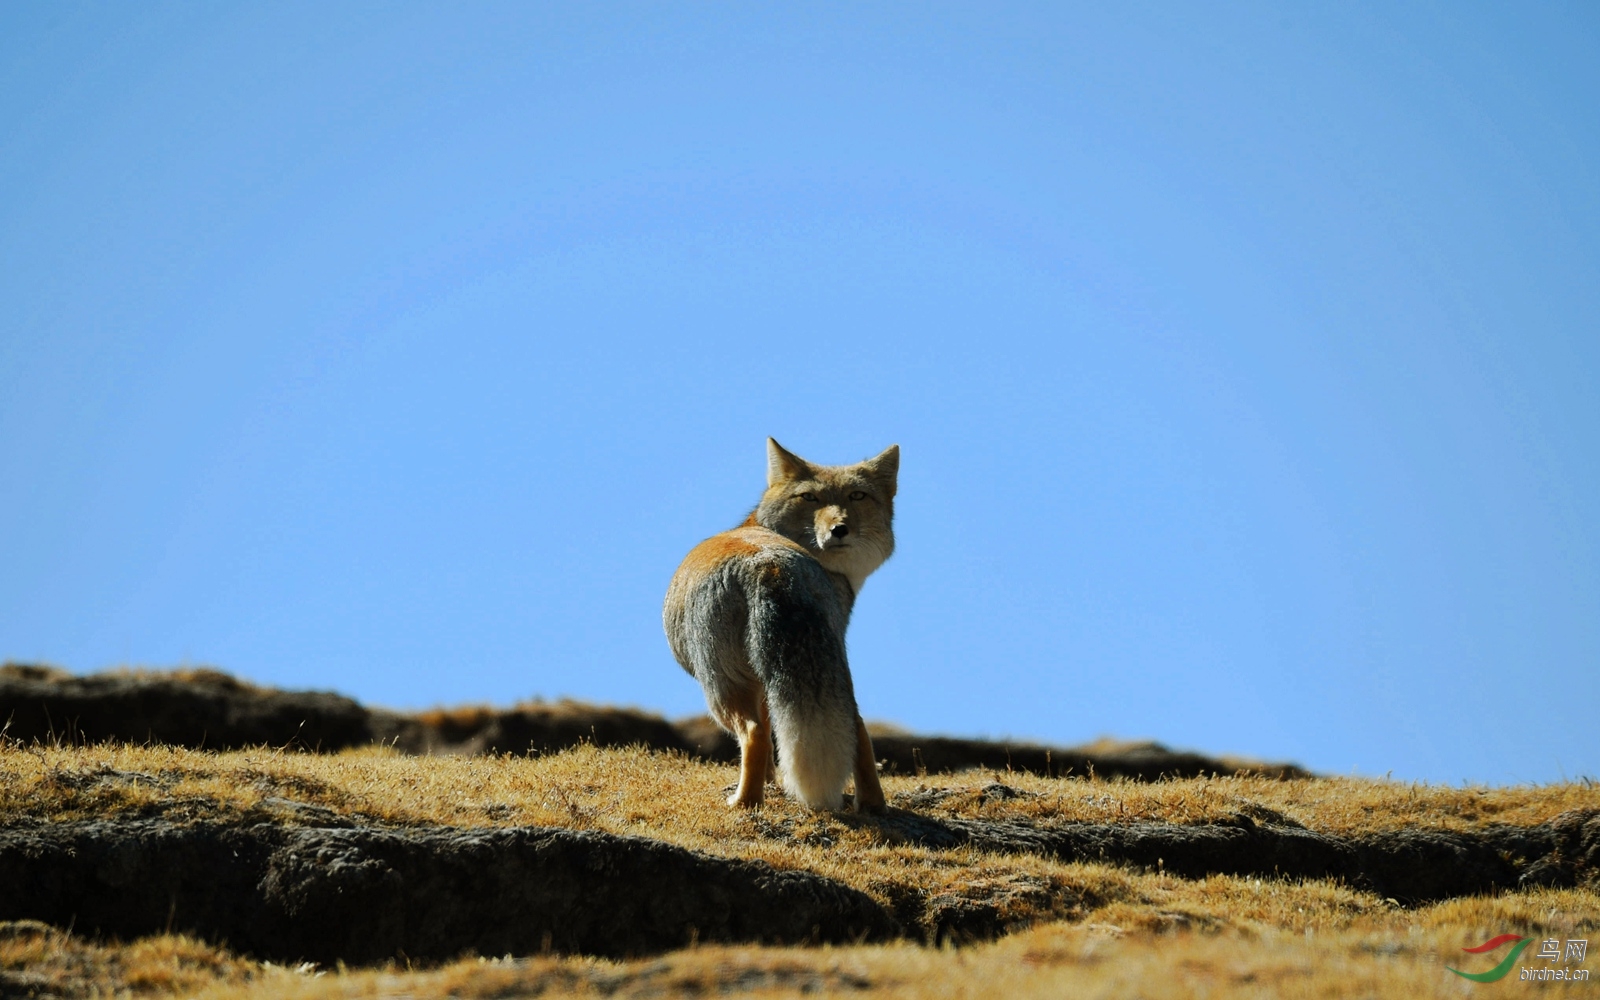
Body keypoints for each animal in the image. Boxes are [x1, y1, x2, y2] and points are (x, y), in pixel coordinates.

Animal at [662, 438, 902, 812]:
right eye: (810, 498)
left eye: (857, 496)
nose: (839, 529)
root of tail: (767, 562)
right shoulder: (767, 683)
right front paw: (773, 783)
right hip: (832, 672)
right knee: (857, 726)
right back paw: (872, 805)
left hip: (719, 687)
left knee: (753, 734)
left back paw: (744, 802)